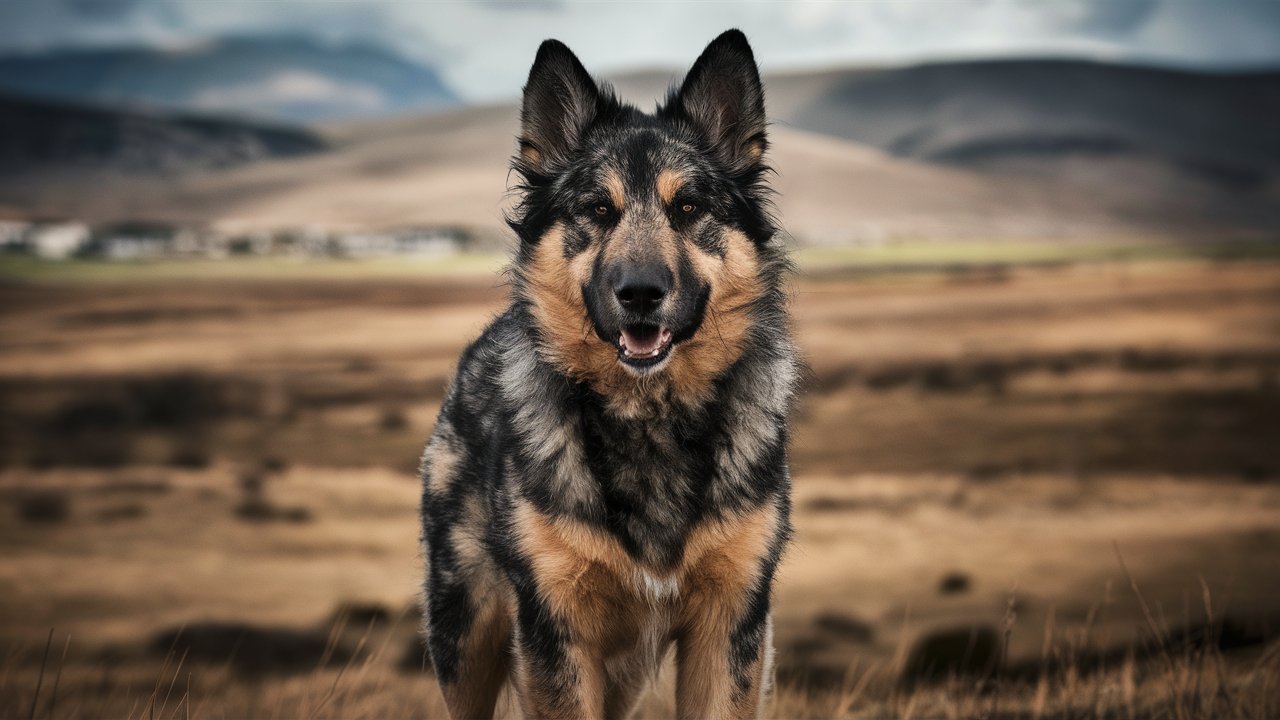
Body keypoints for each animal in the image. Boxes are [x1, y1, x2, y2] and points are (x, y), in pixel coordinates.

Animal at [419, 29, 793, 717]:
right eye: (596, 208)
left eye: (688, 206)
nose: (640, 292)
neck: (647, 417)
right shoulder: (556, 627)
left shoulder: (730, 621)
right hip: (466, 633)